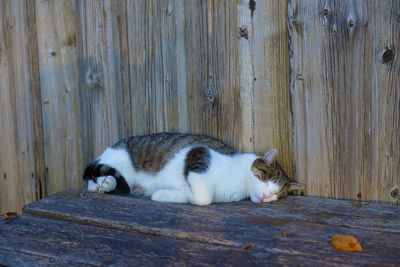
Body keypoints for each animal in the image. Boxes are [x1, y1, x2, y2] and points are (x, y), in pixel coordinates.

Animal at [83, 133, 304, 206]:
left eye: (277, 194)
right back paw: (103, 182)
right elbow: (202, 198)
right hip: (118, 159)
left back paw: (103, 185)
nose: (267, 196)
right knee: (96, 172)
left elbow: (199, 197)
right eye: (266, 180)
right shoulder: (199, 154)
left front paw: (169, 194)